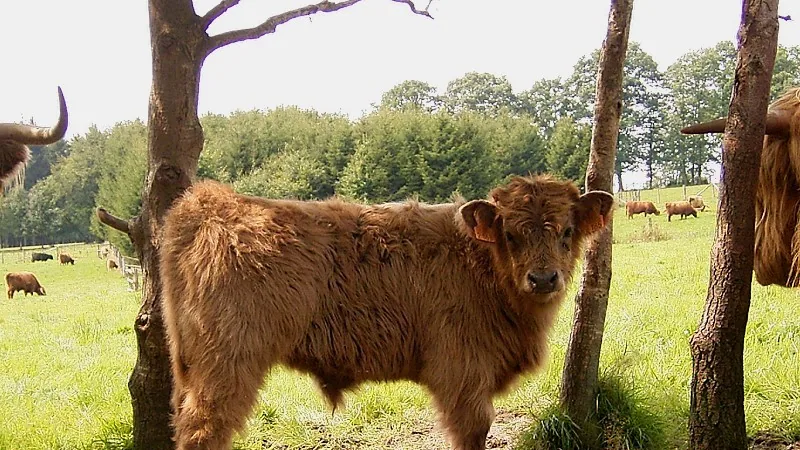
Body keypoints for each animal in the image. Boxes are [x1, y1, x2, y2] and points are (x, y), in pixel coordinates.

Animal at [159, 175, 615, 450]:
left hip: (190, 365)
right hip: (227, 363)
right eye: (511, 234)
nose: (543, 278)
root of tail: (209, 202)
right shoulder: (462, 373)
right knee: (204, 430)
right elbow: (474, 432)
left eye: (567, 231)